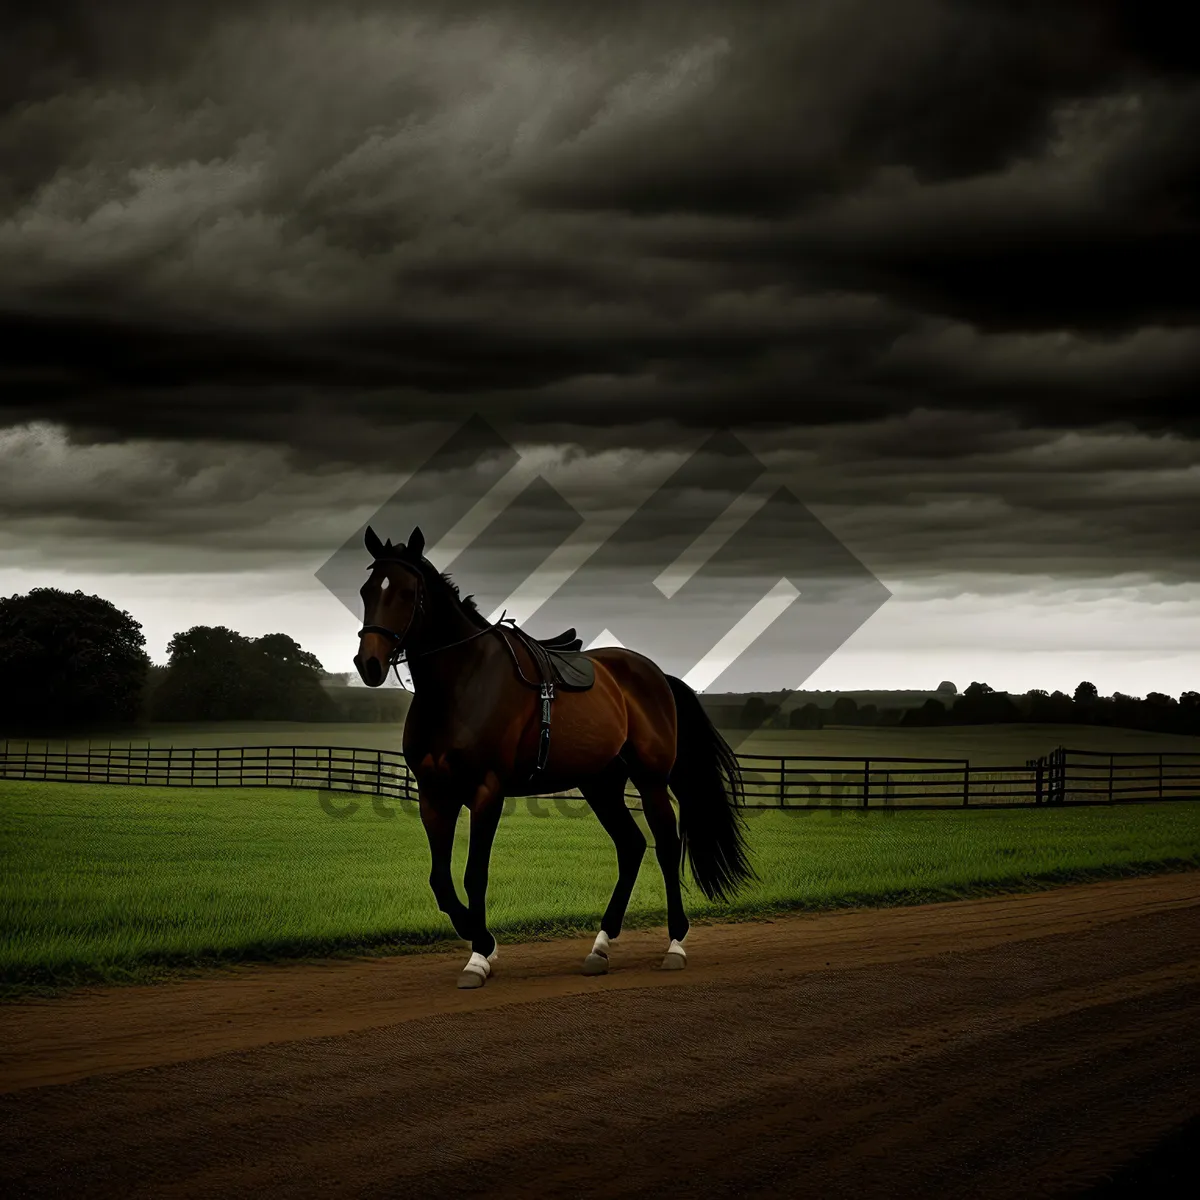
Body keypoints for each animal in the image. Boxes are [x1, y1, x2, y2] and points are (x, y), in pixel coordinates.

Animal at [350, 523, 753, 984]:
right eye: (367, 590)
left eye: (405, 592)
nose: (369, 663)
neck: (458, 686)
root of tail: (656, 675)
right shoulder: (434, 796)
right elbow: (441, 882)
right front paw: (482, 940)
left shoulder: (487, 792)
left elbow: (474, 875)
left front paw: (480, 954)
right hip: (600, 785)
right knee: (631, 846)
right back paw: (600, 947)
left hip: (650, 780)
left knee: (666, 848)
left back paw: (675, 943)